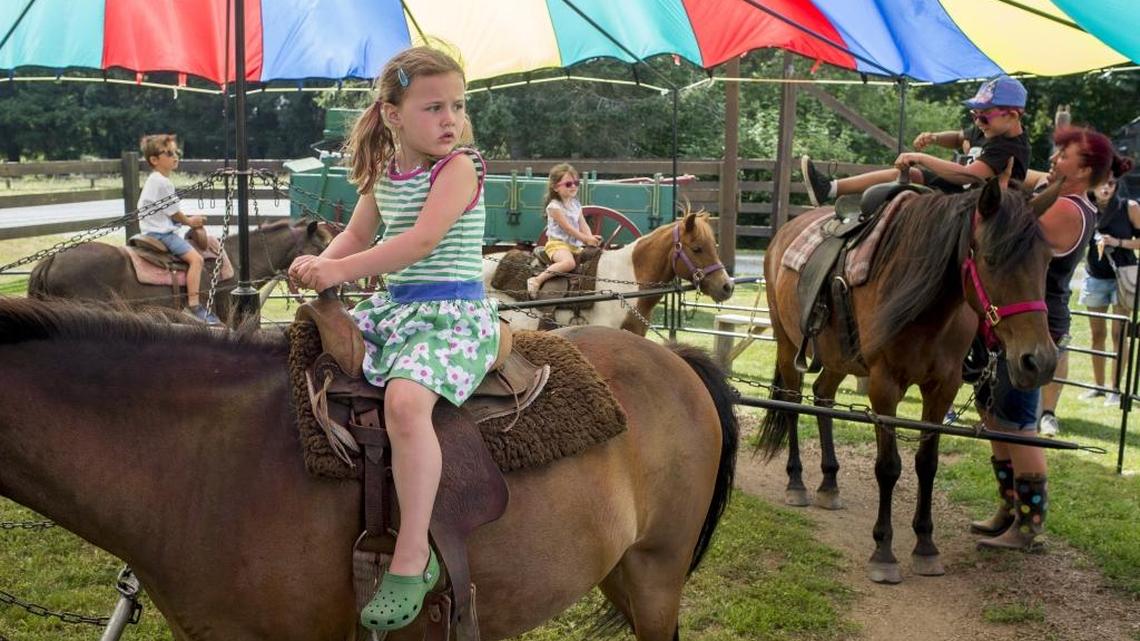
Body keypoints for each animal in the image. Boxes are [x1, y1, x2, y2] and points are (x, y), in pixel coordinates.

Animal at [758, 177, 1059, 584]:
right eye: (991, 259)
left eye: (1047, 262)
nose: (1038, 361)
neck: (928, 308)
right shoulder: (884, 388)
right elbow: (889, 467)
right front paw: (884, 551)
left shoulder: (942, 389)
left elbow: (926, 464)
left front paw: (926, 545)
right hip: (787, 343)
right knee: (790, 404)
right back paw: (797, 482)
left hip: (838, 357)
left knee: (823, 397)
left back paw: (829, 483)